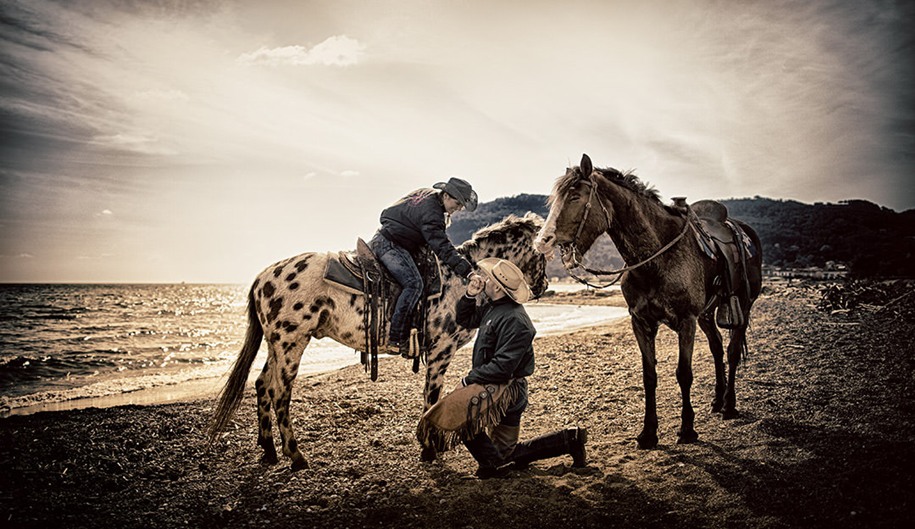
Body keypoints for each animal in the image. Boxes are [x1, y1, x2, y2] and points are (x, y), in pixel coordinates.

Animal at [210, 212, 548, 468]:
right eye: (543, 252)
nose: (543, 285)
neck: (458, 280)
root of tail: (263, 277)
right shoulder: (441, 350)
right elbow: (432, 397)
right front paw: (429, 450)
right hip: (291, 343)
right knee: (280, 395)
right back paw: (296, 456)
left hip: (276, 344)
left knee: (262, 385)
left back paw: (268, 451)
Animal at [532, 155, 764, 448]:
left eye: (574, 196)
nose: (542, 241)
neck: (656, 258)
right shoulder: (641, 322)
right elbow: (649, 376)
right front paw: (648, 432)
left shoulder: (686, 321)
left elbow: (683, 374)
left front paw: (687, 429)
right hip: (706, 314)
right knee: (717, 347)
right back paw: (717, 400)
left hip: (743, 304)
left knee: (732, 352)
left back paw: (729, 405)